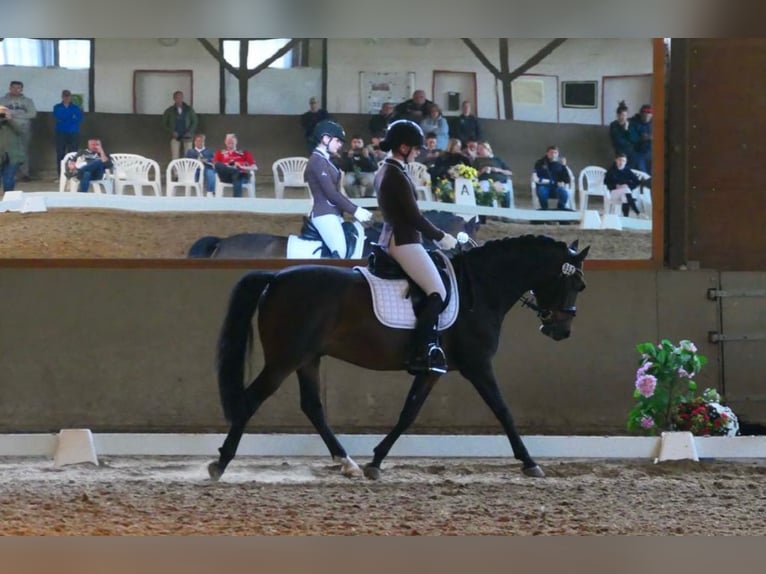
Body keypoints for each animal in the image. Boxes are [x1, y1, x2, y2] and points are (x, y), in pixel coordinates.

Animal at [207, 234, 592, 482]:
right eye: (577, 285)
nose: (561, 331)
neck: (481, 287)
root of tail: (276, 276)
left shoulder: (433, 368)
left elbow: (409, 412)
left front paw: (375, 462)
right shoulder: (477, 365)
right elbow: (503, 411)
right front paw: (530, 463)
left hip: (307, 358)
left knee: (313, 406)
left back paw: (348, 463)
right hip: (285, 358)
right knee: (250, 400)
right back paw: (220, 464)